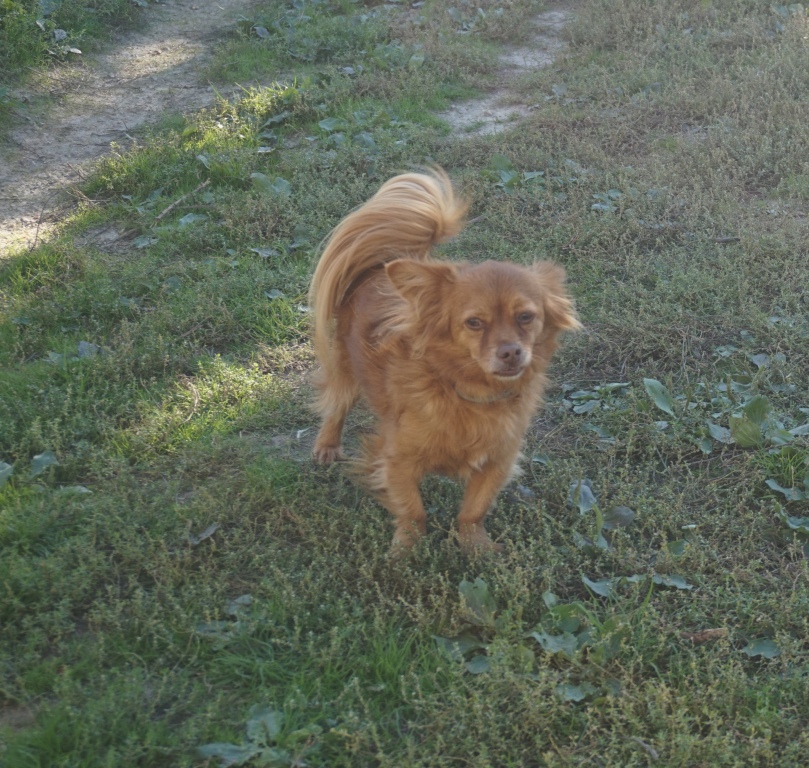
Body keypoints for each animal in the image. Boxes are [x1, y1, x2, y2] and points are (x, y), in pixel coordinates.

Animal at [306, 168, 576, 552]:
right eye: (474, 323)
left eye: (526, 317)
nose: (511, 352)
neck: (472, 392)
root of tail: (376, 267)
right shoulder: (398, 459)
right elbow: (413, 511)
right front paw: (406, 551)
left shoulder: (498, 462)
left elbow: (473, 511)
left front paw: (477, 549)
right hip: (346, 370)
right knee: (336, 405)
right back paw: (327, 446)